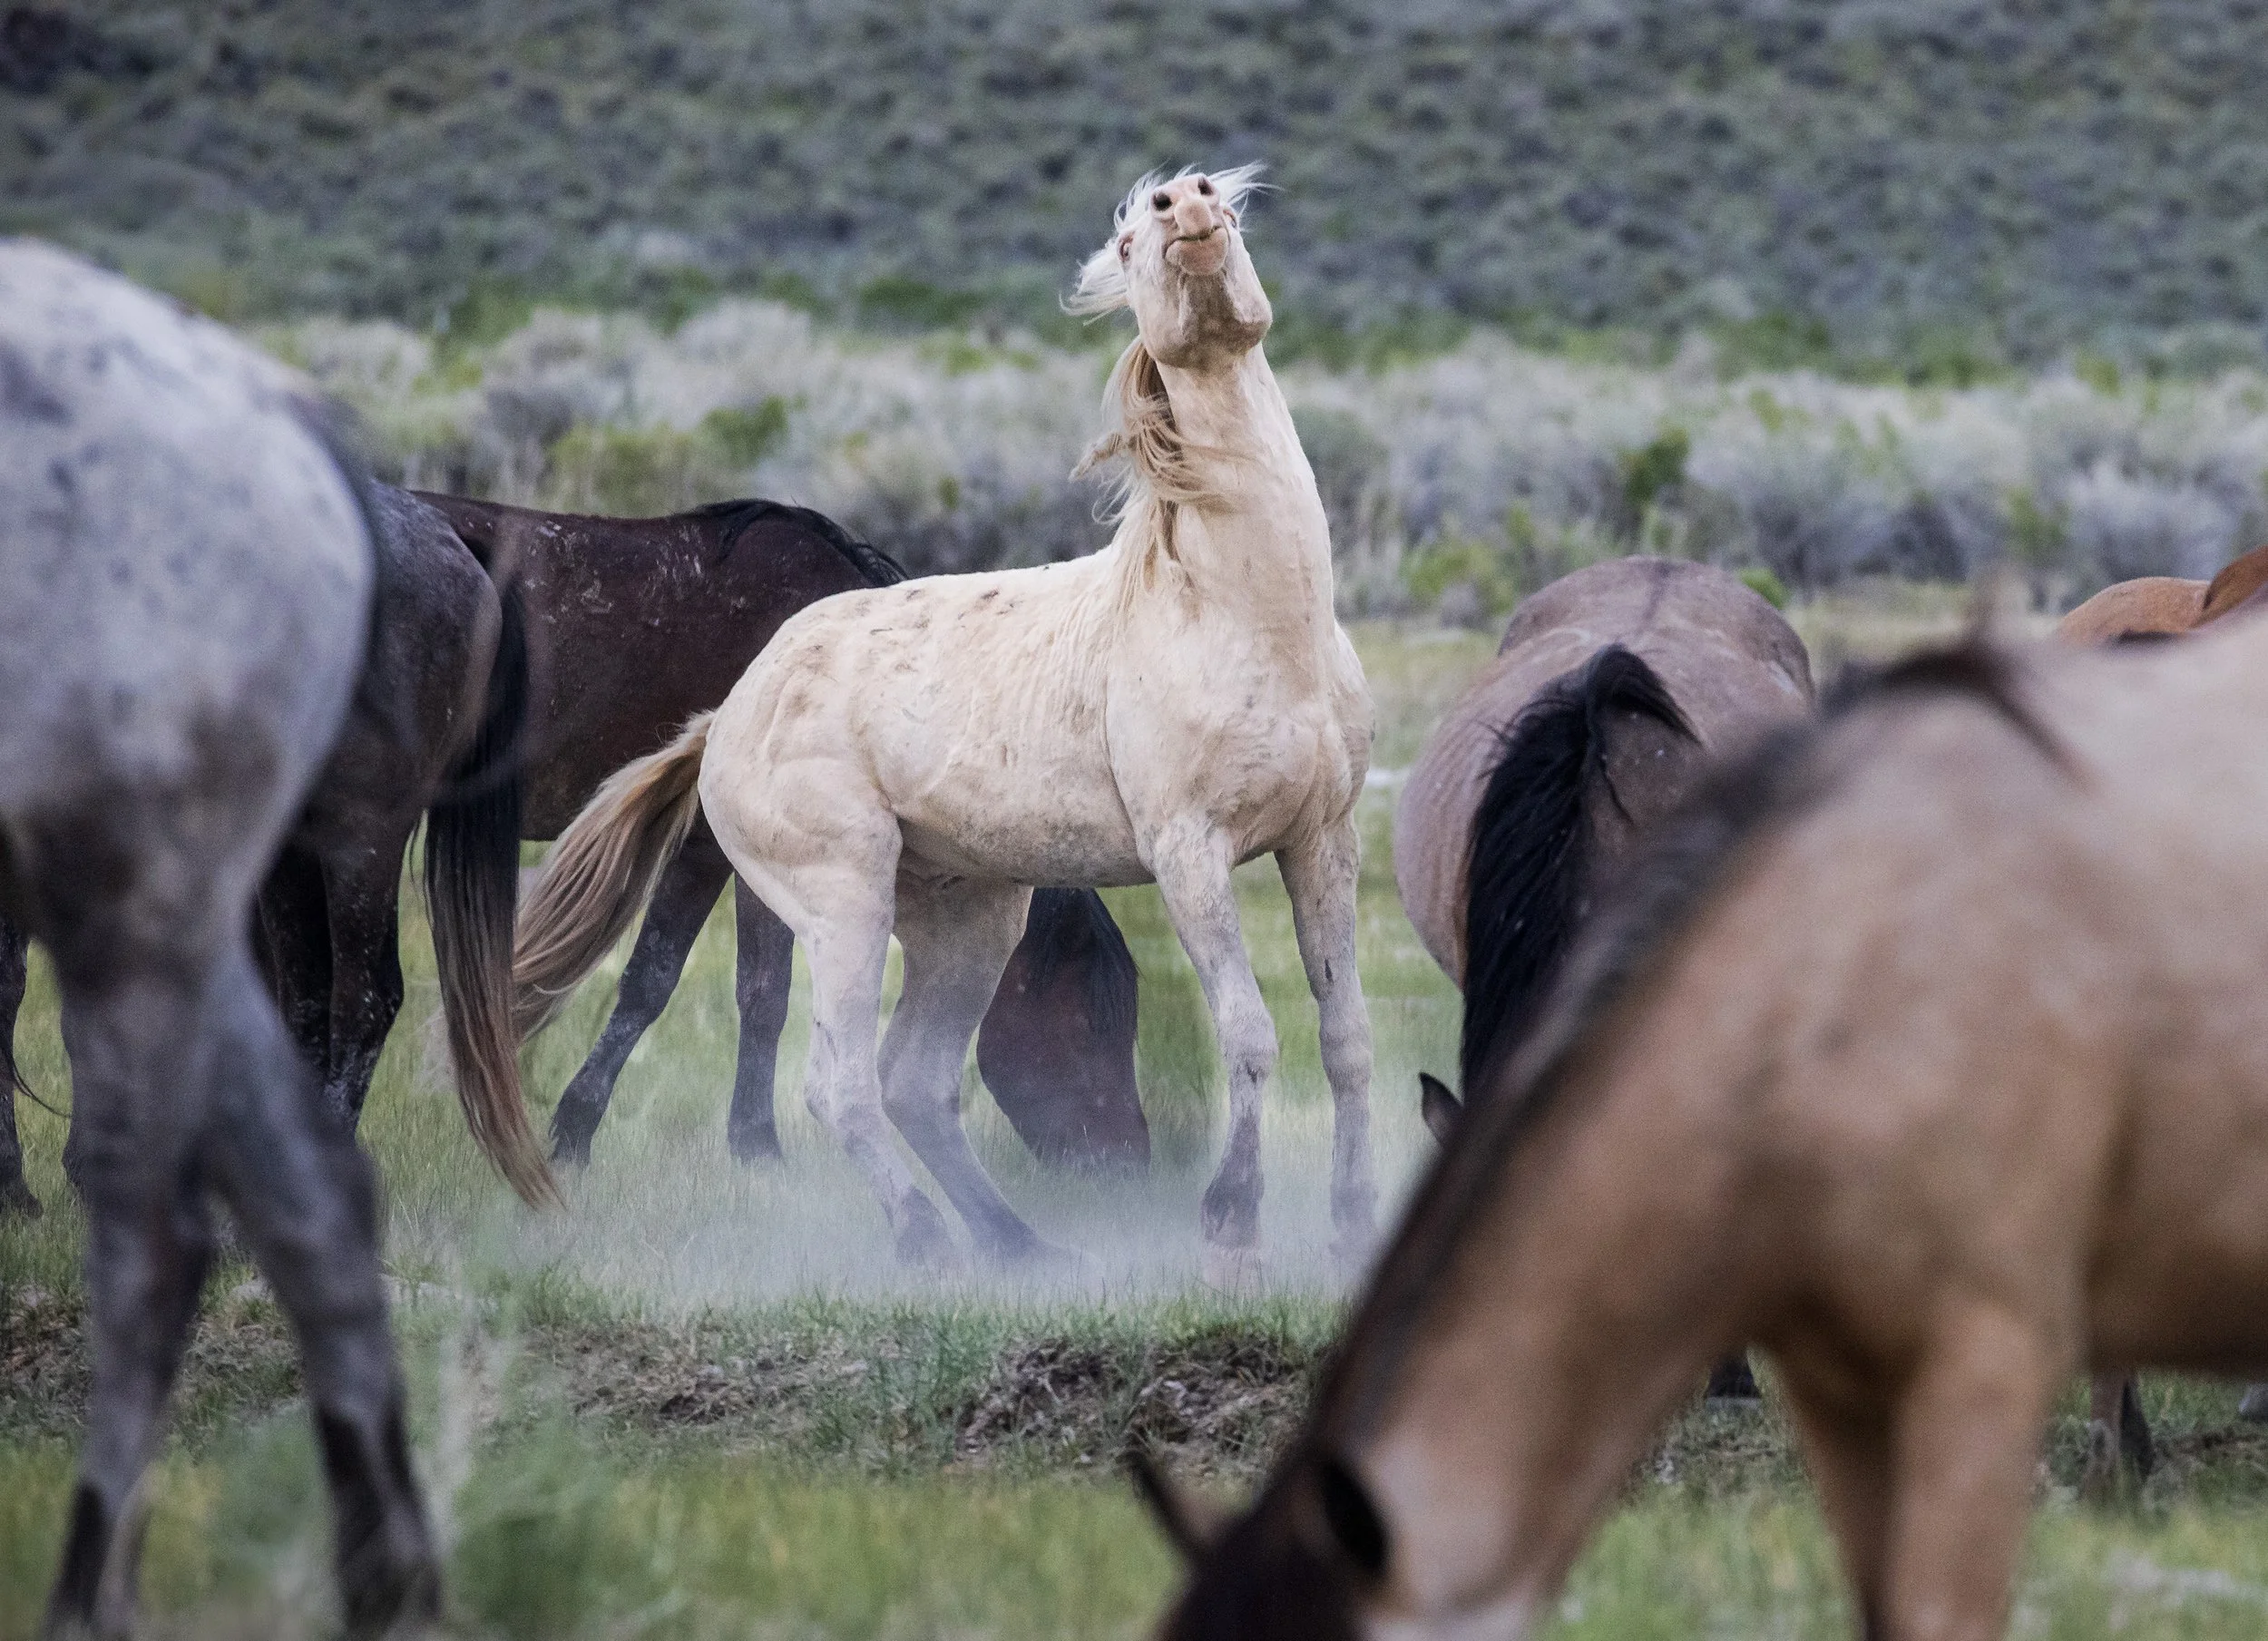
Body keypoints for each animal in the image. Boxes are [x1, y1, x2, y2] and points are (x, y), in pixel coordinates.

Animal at [1, 242, 443, 1636]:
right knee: (314, 1192)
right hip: (202, 916)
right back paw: (384, 1579)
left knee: (156, 1234)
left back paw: (89, 1593)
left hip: (134, 891)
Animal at [418, 492, 1151, 1172]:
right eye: (1093, 1018)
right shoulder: (718, 853)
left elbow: (722, 990)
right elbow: (697, 987)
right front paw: (715, 1141)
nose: (1128, 1161)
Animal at [512, 166, 1375, 1276]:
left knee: (914, 1082)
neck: (1244, 612)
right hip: (844, 902)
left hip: (969, 917)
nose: (1184, 208)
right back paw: (925, 1241)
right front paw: (1233, 1221)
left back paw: (1019, 1247)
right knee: (839, 1085)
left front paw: (1353, 1224)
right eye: (1130, 240)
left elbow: (1343, 1038)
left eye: (1219, 201)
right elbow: (1251, 1034)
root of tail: (726, 716)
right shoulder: (1192, 853)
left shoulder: (1322, 841)